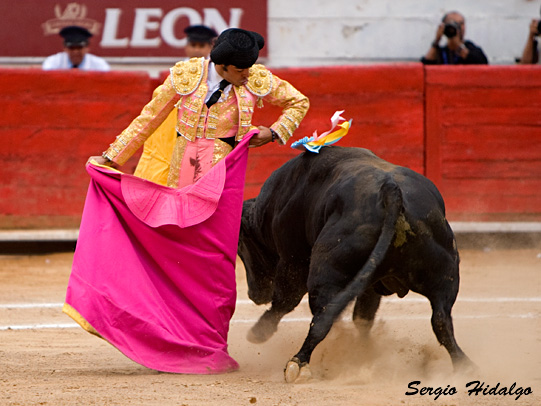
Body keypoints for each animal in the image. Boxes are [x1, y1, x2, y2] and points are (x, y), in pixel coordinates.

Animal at [237, 147, 472, 384]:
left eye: (240, 245)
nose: (253, 294)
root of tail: (391, 191)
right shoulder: (369, 283)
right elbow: (363, 317)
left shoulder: (293, 260)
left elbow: (284, 301)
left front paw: (258, 333)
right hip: (446, 271)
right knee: (441, 320)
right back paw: (465, 365)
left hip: (327, 271)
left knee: (322, 317)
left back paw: (298, 363)